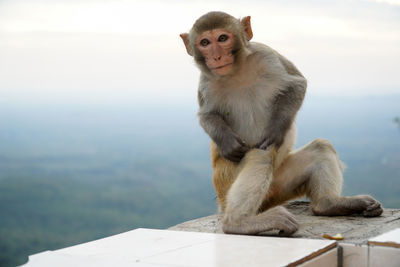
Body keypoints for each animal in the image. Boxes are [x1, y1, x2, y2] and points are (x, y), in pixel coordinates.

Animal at [180, 12, 382, 237]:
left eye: (222, 38)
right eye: (205, 43)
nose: (216, 56)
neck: (237, 71)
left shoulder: (266, 54)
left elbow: (297, 84)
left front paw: (276, 131)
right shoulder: (206, 82)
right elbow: (207, 115)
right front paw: (228, 144)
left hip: (278, 186)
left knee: (319, 147)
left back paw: (329, 204)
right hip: (226, 184)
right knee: (261, 156)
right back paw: (239, 223)